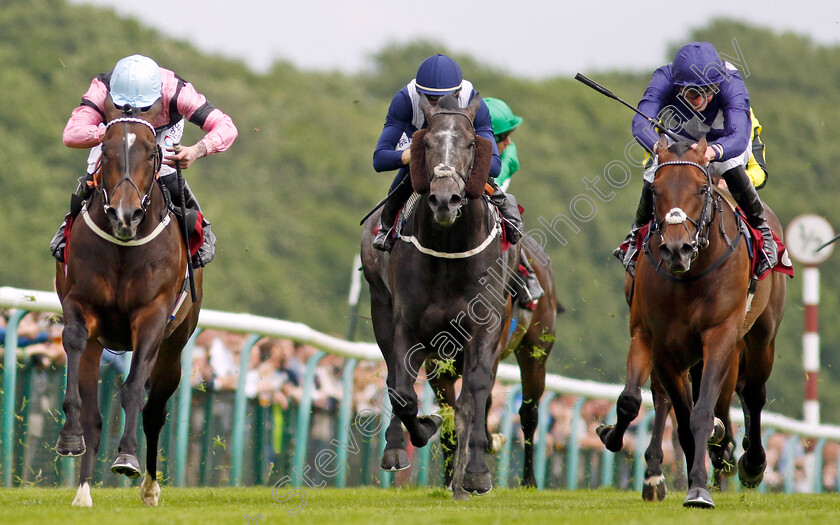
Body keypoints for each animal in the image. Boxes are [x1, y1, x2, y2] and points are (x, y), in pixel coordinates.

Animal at [55, 98, 203, 504]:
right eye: (105, 150)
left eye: (152, 152)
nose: (125, 214)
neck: (124, 246)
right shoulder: (82, 306)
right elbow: (75, 344)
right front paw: (69, 436)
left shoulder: (152, 317)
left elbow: (134, 389)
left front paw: (126, 457)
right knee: (94, 416)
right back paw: (83, 491)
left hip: (174, 348)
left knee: (154, 412)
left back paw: (150, 487)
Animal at [360, 94, 506, 500]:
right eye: (426, 144)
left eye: (471, 143)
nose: (445, 199)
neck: (448, 250)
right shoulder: (407, 325)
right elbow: (402, 392)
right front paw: (423, 429)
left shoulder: (486, 325)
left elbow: (476, 392)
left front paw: (475, 475)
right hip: (382, 308)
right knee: (395, 379)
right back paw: (398, 448)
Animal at [596, 138, 788, 508]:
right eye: (655, 190)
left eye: (701, 189)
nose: (676, 249)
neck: (690, 276)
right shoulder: (655, 340)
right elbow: (641, 402)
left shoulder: (721, 336)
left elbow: (700, 413)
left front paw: (699, 488)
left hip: (761, 335)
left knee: (753, 393)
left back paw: (751, 463)